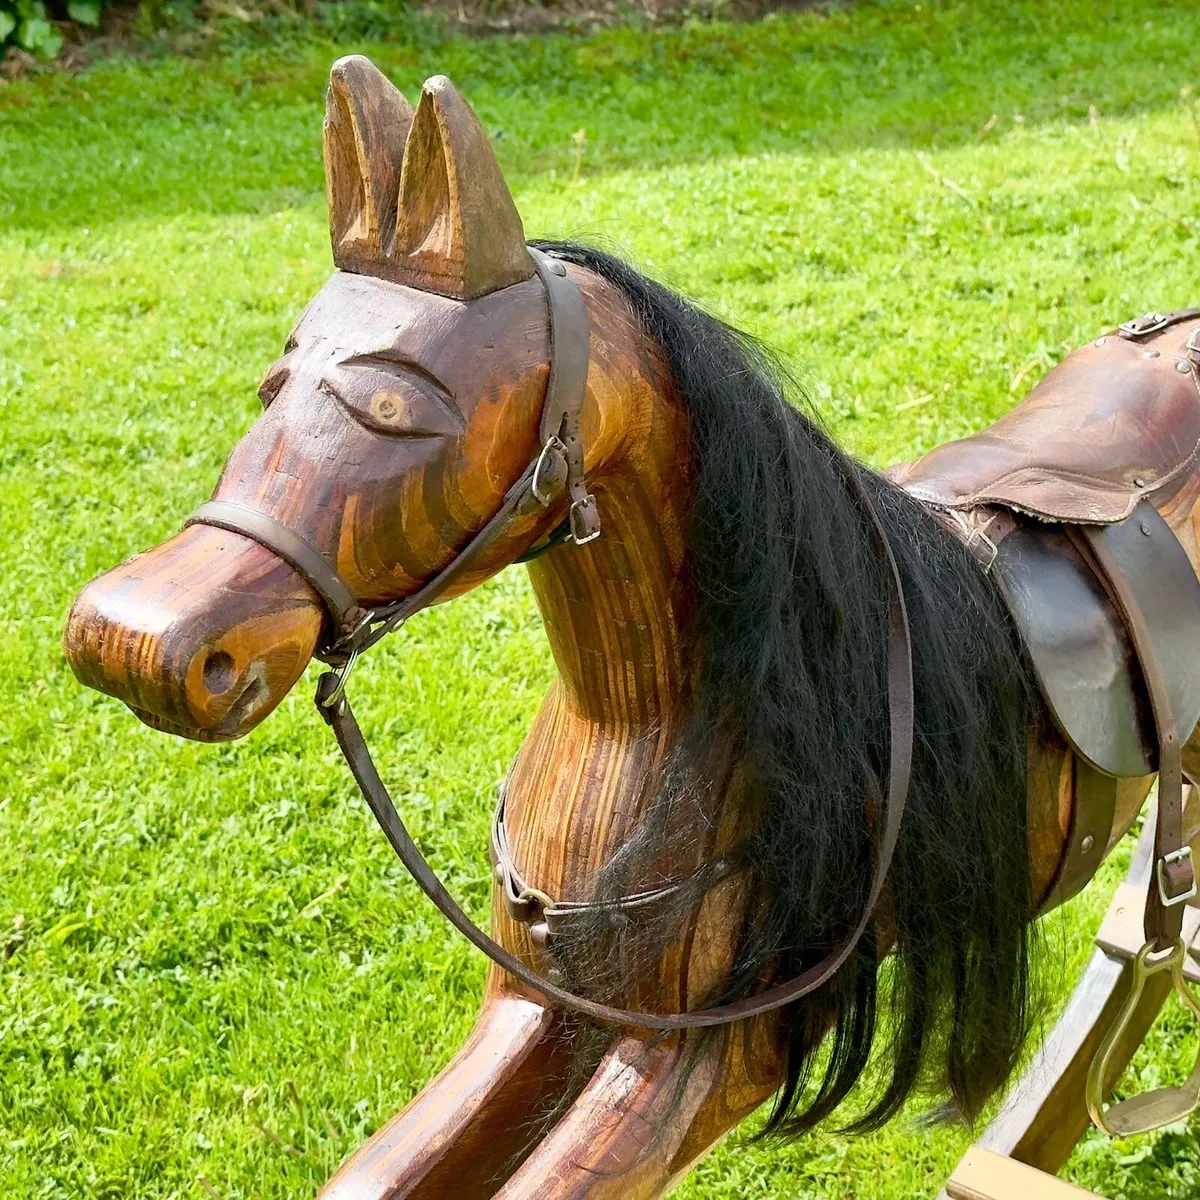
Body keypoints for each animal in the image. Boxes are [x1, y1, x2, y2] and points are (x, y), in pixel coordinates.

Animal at [64, 55, 1200, 1199]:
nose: (137, 640)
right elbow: (381, 1172)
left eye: (393, 411)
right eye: (274, 382)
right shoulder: (536, 1003)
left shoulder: (705, 1057)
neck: (642, 719)